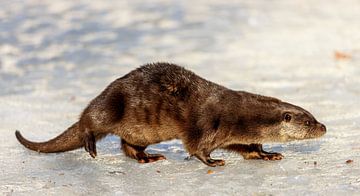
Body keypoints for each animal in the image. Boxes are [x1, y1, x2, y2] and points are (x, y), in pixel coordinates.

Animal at [15, 63, 326, 167]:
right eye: (308, 120)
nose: (323, 127)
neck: (242, 116)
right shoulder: (207, 124)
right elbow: (196, 146)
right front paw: (213, 161)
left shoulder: (237, 134)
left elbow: (249, 147)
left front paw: (267, 154)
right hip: (110, 105)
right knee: (88, 122)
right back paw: (91, 147)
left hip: (139, 131)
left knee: (128, 146)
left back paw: (148, 158)